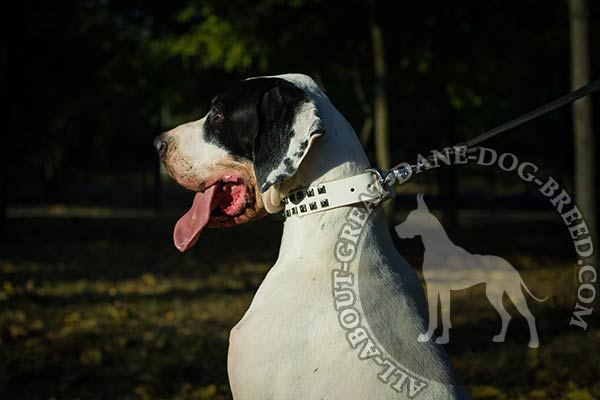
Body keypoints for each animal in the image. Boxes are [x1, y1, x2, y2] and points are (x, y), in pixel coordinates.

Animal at [396, 195, 548, 348]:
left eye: (411, 219)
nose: (396, 230)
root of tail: (511, 266)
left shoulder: (440, 288)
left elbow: (441, 315)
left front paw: (438, 338)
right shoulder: (436, 288)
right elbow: (438, 315)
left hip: (513, 292)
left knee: (529, 316)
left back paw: (534, 343)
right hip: (493, 294)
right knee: (507, 316)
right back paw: (500, 338)